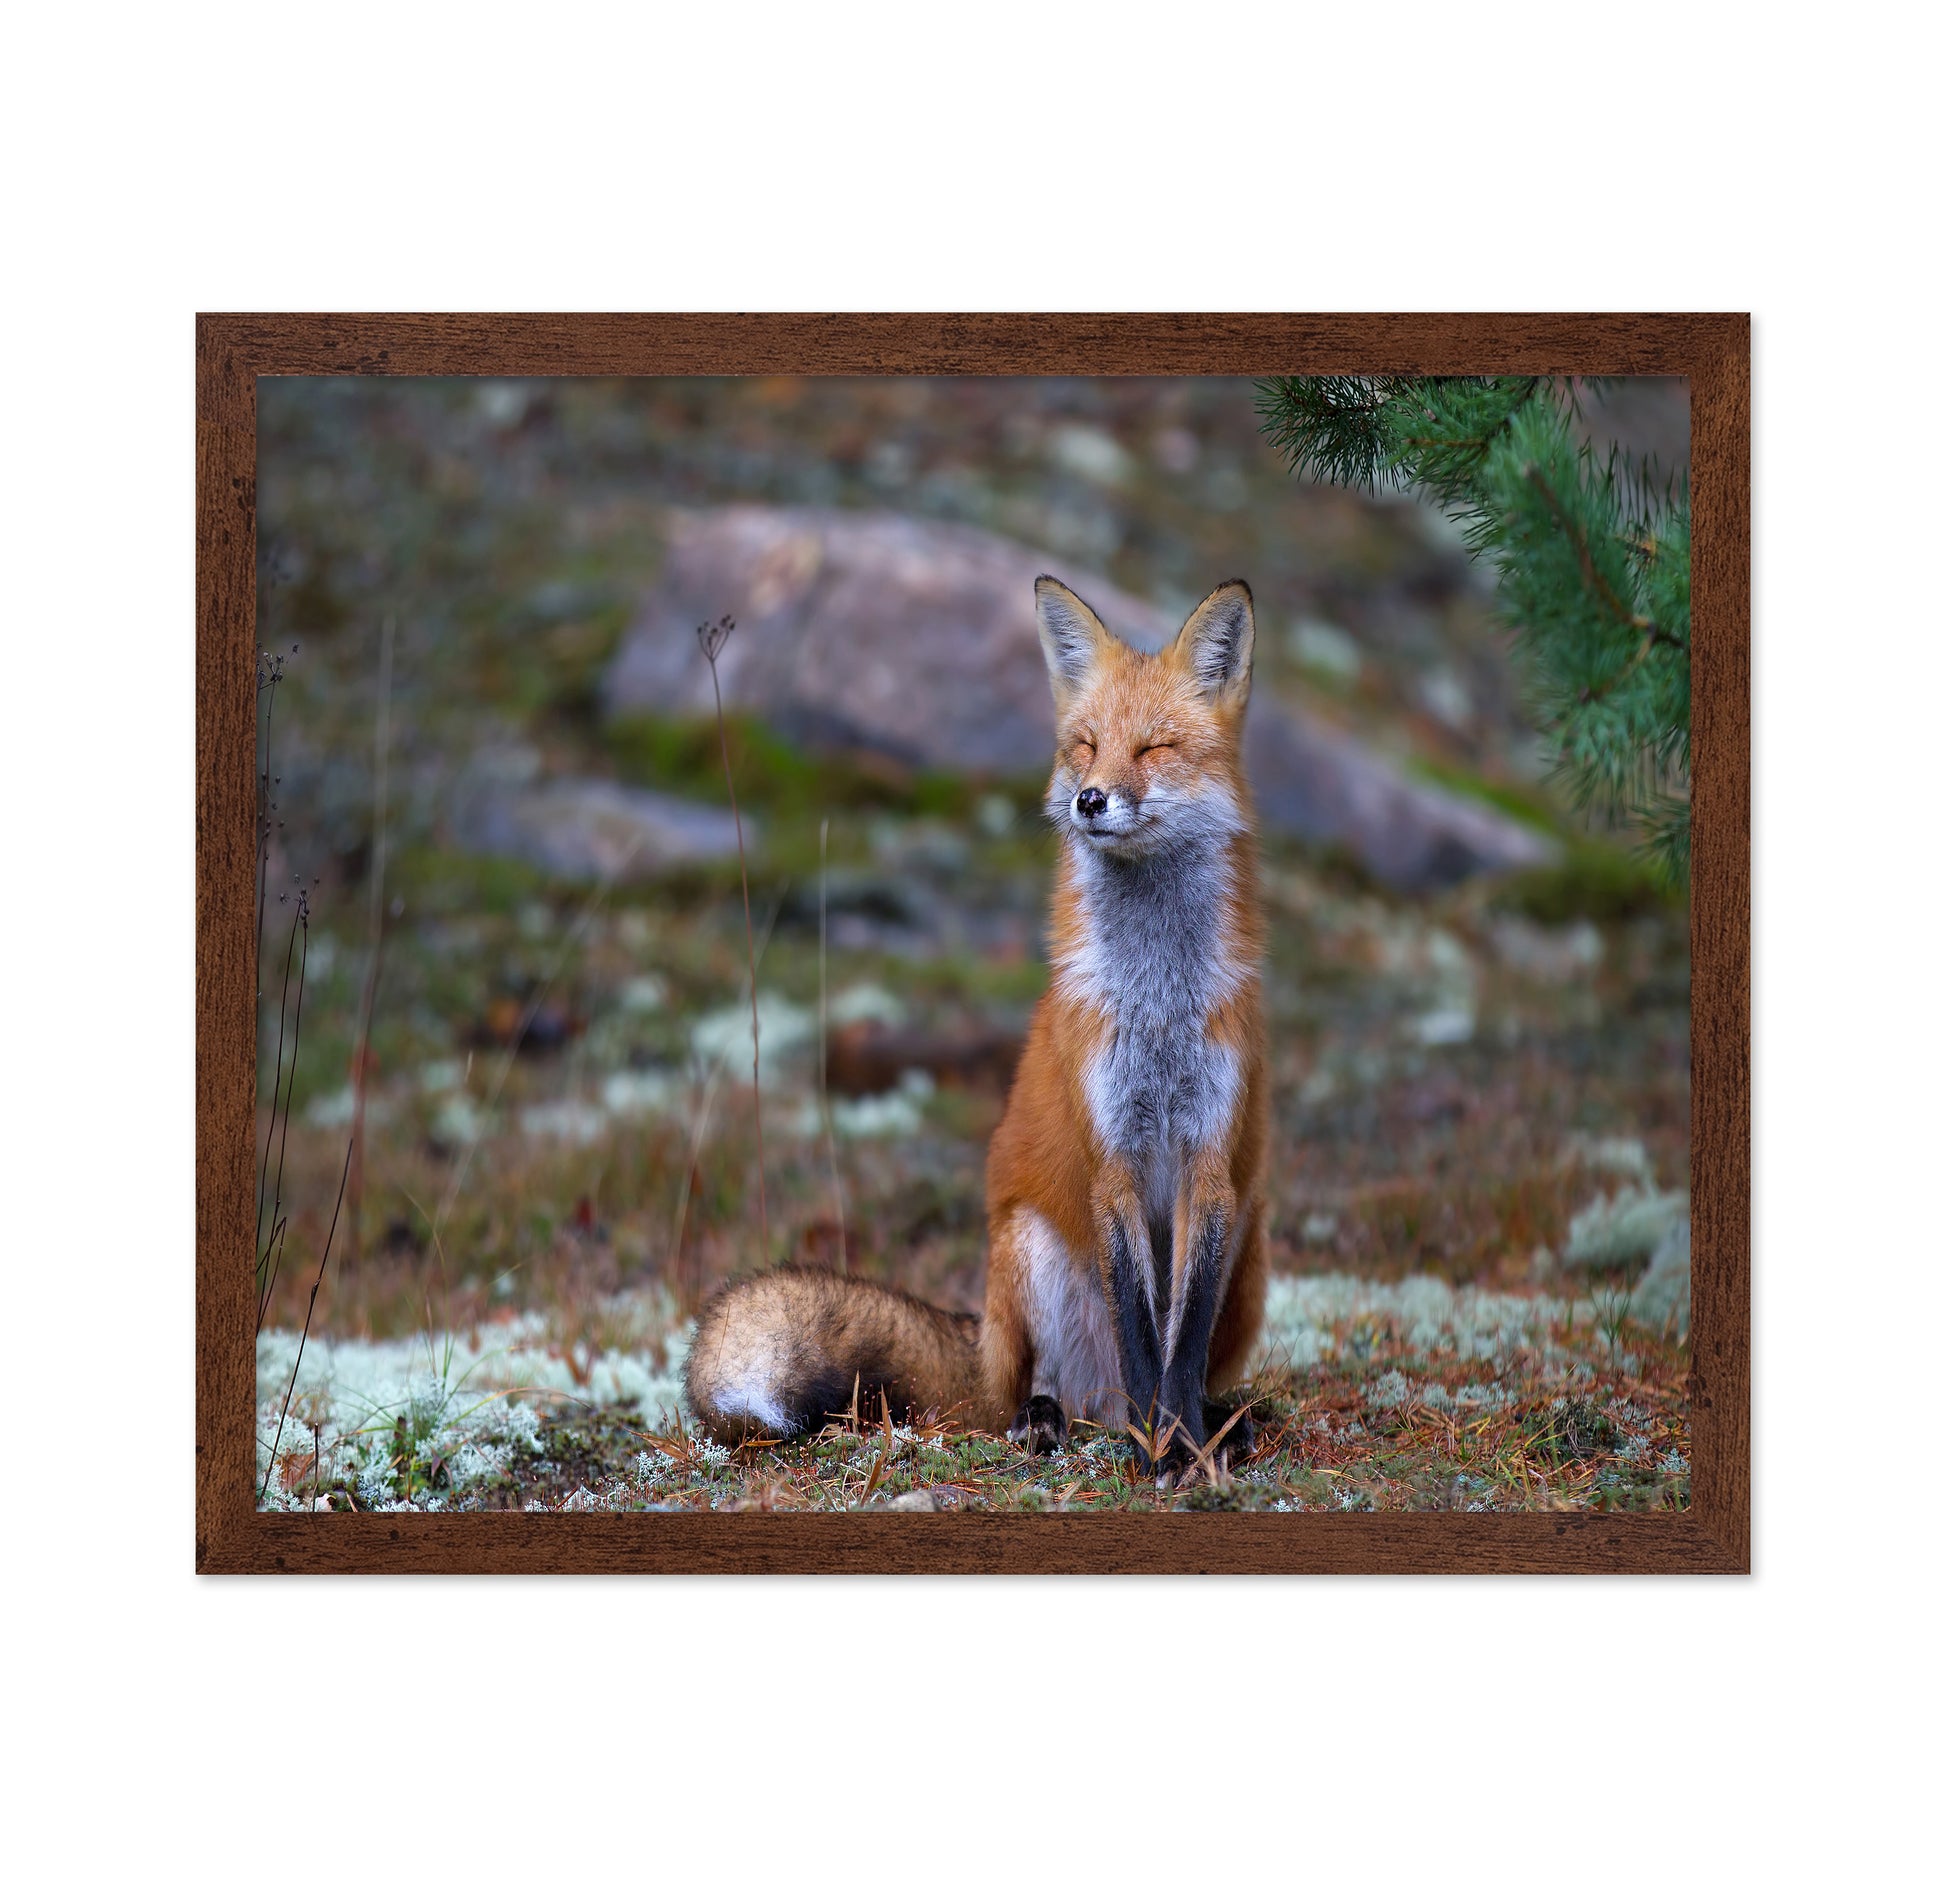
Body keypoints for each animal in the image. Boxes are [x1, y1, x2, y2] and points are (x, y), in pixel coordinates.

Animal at [685, 575, 1268, 1480]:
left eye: (1154, 748)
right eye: (1085, 746)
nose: (1090, 799)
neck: (1156, 1004)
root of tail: (982, 1340)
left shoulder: (1210, 1161)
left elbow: (1180, 1338)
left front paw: (1182, 1443)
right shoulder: (1112, 1158)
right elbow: (1144, 1337)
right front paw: (1157, 1447)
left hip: (1249, 1234)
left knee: (1187, 1367)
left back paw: (1219, 1420)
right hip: (1028, 1251)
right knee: (1039, 1394)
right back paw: (1053, 1419)